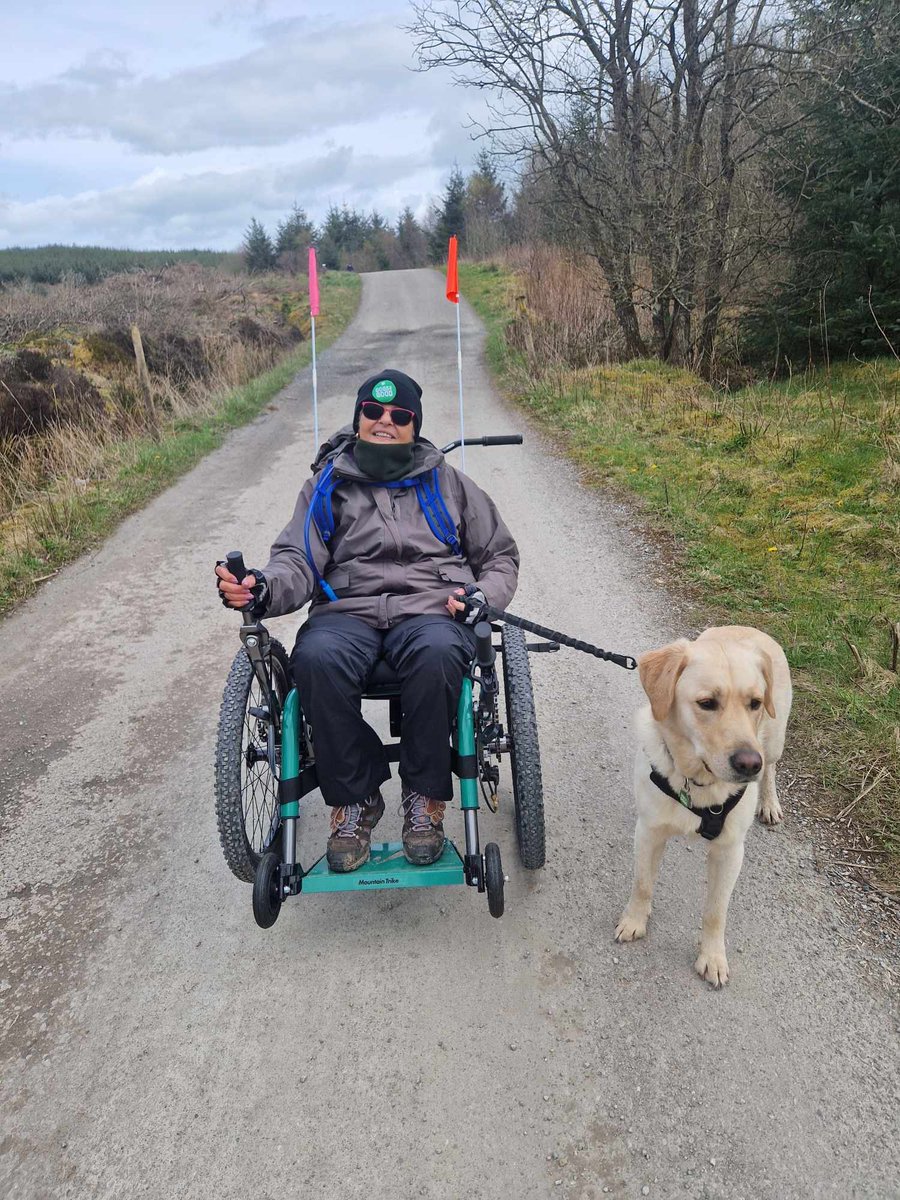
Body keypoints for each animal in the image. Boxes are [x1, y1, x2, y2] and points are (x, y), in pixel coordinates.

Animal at [619, 628, 792, 984]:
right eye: (707, 703)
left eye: (754, 703)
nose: (748, 764)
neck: (697, 782)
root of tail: (751, 629)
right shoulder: (648, 831)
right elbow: (642, 883)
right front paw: (634, 921)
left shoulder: (729, 851)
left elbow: (716, 911)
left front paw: (712, 957)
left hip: (774, 740)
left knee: (772, 767)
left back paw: (769, 802)